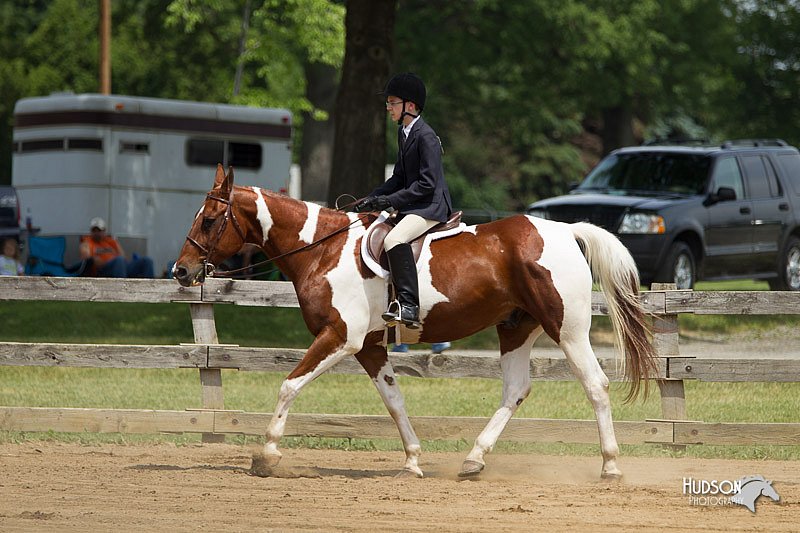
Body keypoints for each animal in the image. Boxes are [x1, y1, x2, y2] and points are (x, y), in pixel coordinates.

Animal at [175, 165, 656, 478]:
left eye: (211, 219)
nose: (181, 271)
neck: (322, 249)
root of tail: (566, 230)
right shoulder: (370, 346)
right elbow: (394, 401)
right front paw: (412, 460)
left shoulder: (342, 338)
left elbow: (289, 385)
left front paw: (268, 454)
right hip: (515, 328)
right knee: (516, 390)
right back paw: (474, 459)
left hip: (568, 330)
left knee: (596, 385)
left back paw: (610, 465)